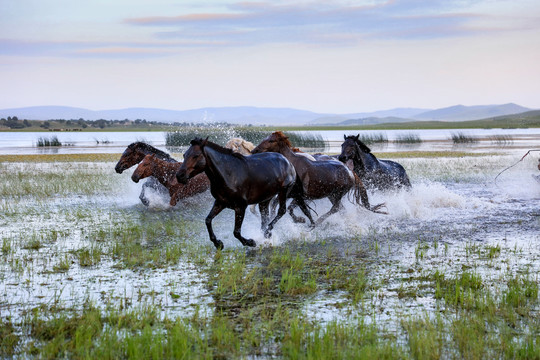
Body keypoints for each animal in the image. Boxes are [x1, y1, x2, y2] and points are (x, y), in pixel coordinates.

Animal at [252, 131, 384, 226]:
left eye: (271, 140)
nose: (254, 150)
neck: (292, 165)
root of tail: (351, 172)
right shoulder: (291, 194)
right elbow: (280, 206)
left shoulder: (300, 195)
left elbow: (290, 209)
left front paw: (301, 220)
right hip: (331, 195)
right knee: (340, 208)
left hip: (338, 193)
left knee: (335, 208)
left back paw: (320, 220)